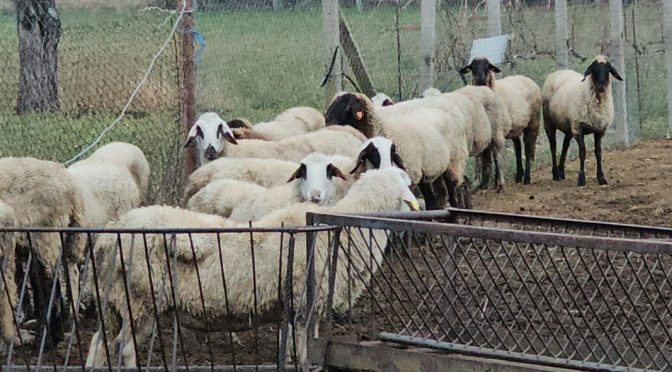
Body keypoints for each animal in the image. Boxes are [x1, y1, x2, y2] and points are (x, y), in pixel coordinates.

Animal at [84, 167, 420, 368]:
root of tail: (110, 233)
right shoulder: (302, 305)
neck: (343, 228)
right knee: (124, 350)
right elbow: (300, 352)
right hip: (140, 300)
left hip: (115, 301)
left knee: (99, 345)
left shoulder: (298, 307)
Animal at [460, 57, 544, 185]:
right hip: (515, 127)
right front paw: (485, 183)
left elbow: (495, 157)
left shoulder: (497, 132)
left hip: (533, 122)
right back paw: (519, 176)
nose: (479, 77)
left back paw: (527, 178)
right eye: (472, 66)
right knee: (518, 148)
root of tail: (527, 79)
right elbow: (486, 158)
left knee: (527, 148)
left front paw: (495, 183)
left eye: (487, 66)